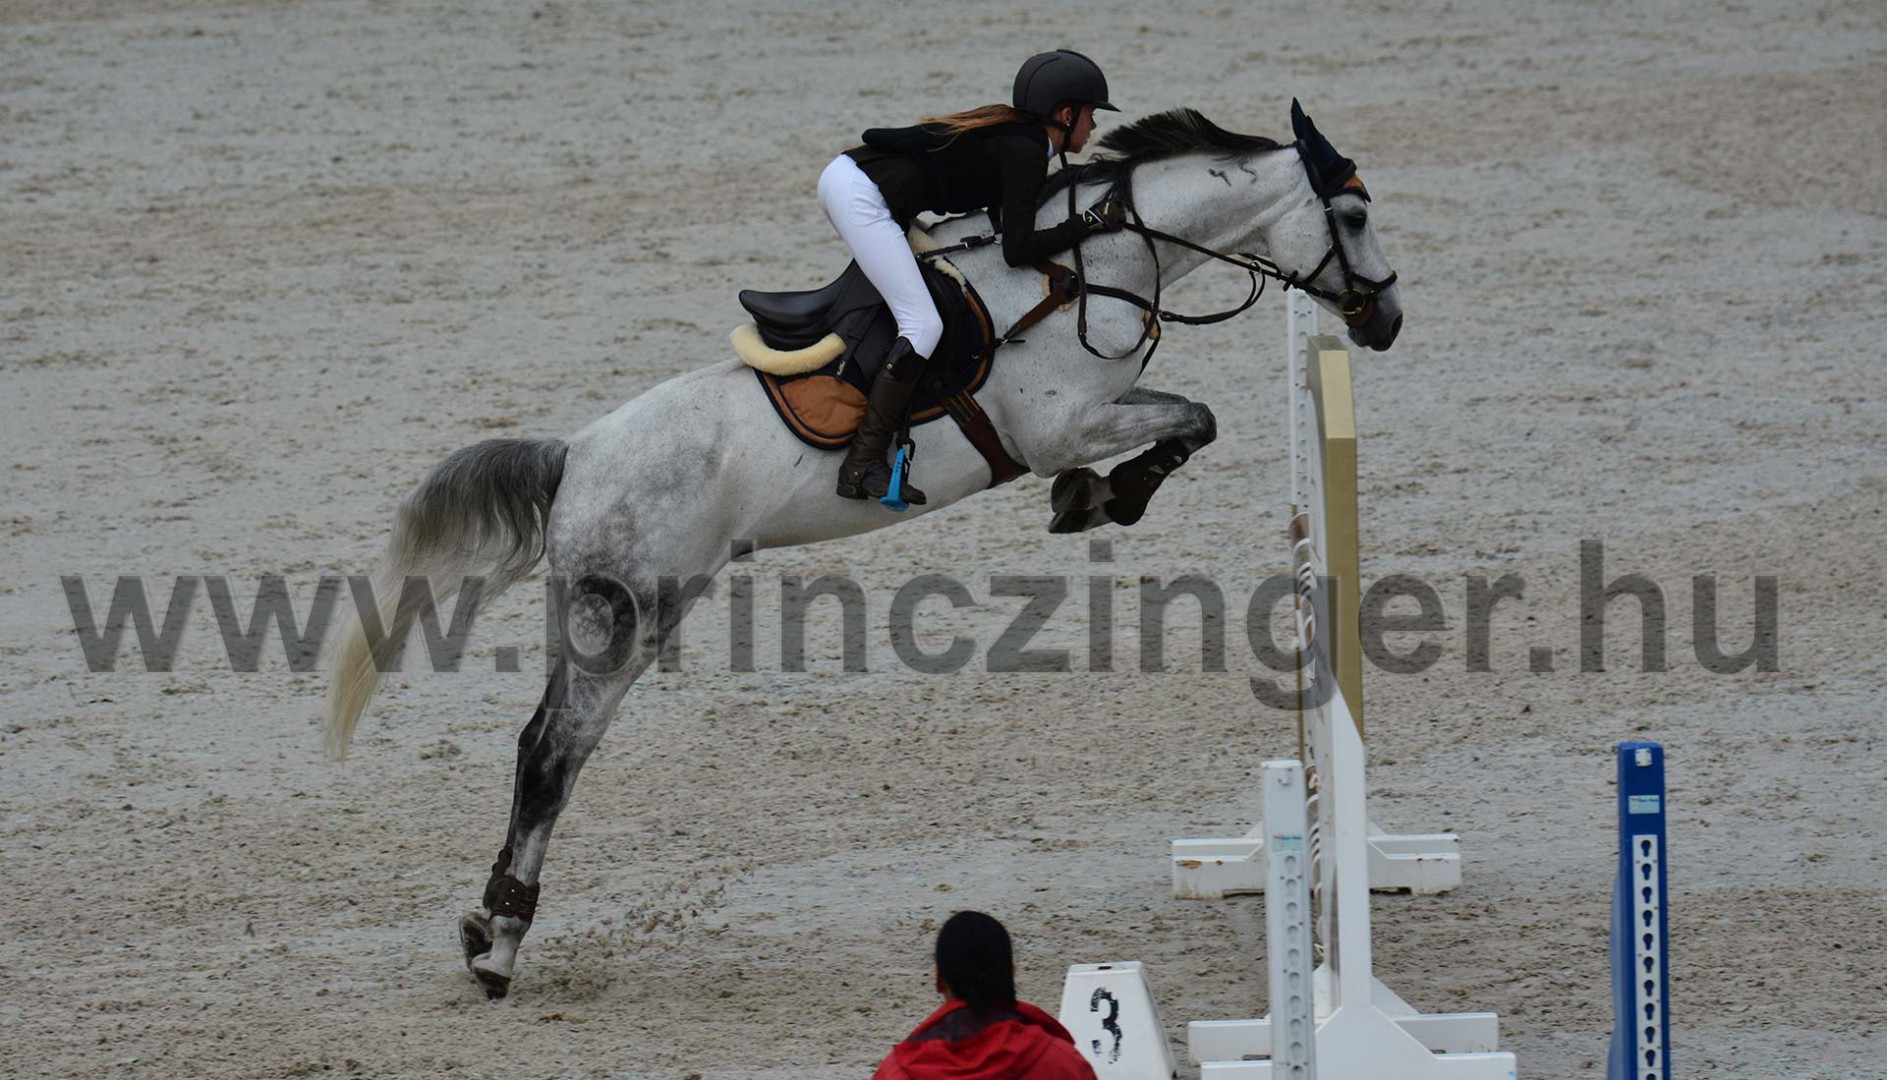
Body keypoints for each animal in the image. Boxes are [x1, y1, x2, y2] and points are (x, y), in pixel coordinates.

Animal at [324, 103, 1402, 999]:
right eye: (1352, 216)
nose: (1386, 319)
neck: (1087, 266)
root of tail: (577, 454)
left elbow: (1195, 418)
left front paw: (1097, 498)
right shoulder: (1061, 425)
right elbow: (1192, 418)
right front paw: (1105, 495)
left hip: (593, 612)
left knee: (536, 746)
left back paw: (485, 927)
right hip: (629, 614)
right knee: (557, 756)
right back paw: (501, 951)